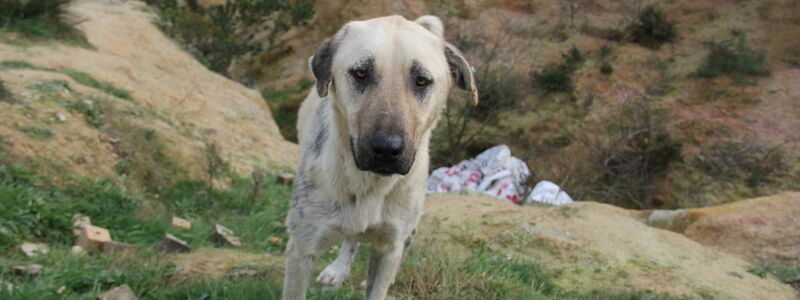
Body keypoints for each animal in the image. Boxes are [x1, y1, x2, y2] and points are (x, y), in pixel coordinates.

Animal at [282, 14, 476, 300]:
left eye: (422, 80)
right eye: (360, 73)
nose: (387, 149)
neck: (371, 185)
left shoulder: (389, 249)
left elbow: (380, 280)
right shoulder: (301, 249)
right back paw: (338, 268)